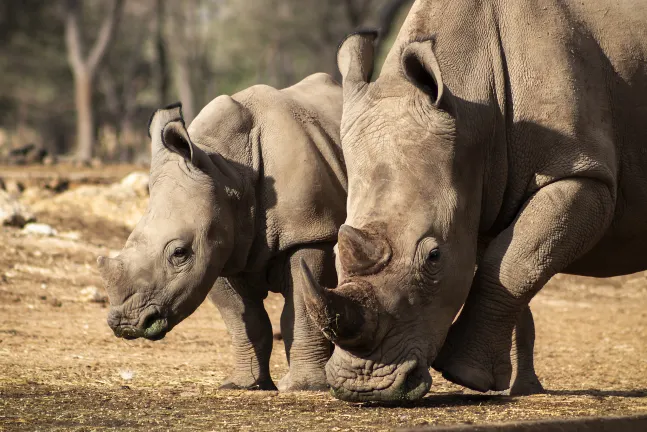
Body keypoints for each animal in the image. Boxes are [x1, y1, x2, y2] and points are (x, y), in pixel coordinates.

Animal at [97, 73, 346, 392]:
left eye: (180, 253)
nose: (126, 325)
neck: (227, 172)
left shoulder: (309, 232)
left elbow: (301, 309)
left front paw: (303, 387)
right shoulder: (218, 250)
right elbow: (242, 319)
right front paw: (243, 385)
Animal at [300, 0, 647, 402]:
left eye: (434, 257)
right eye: (336, 253)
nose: (364, 388)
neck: (472, 108)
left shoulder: (581, 172)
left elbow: (512, 265)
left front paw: (464, 374)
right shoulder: (478, 194)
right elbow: (509, 268)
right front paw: (515, 387)